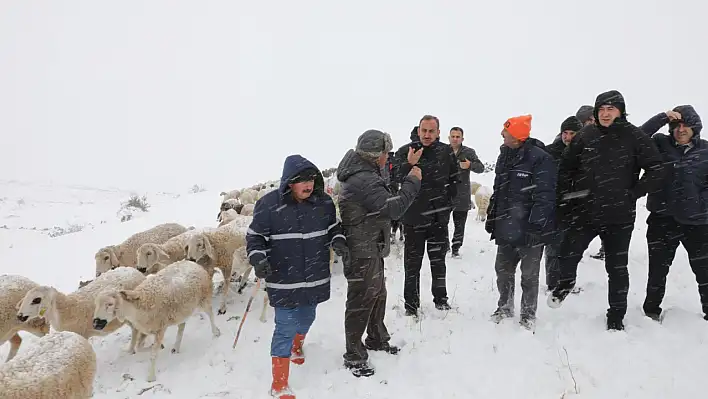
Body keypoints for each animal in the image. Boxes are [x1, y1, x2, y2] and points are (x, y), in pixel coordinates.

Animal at [16, 268, 147, 352]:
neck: (65, 310)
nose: (19, 316)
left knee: (136, 330)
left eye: (36, 300)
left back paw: (131, 348)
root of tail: (135, 271)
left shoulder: (80, 334)